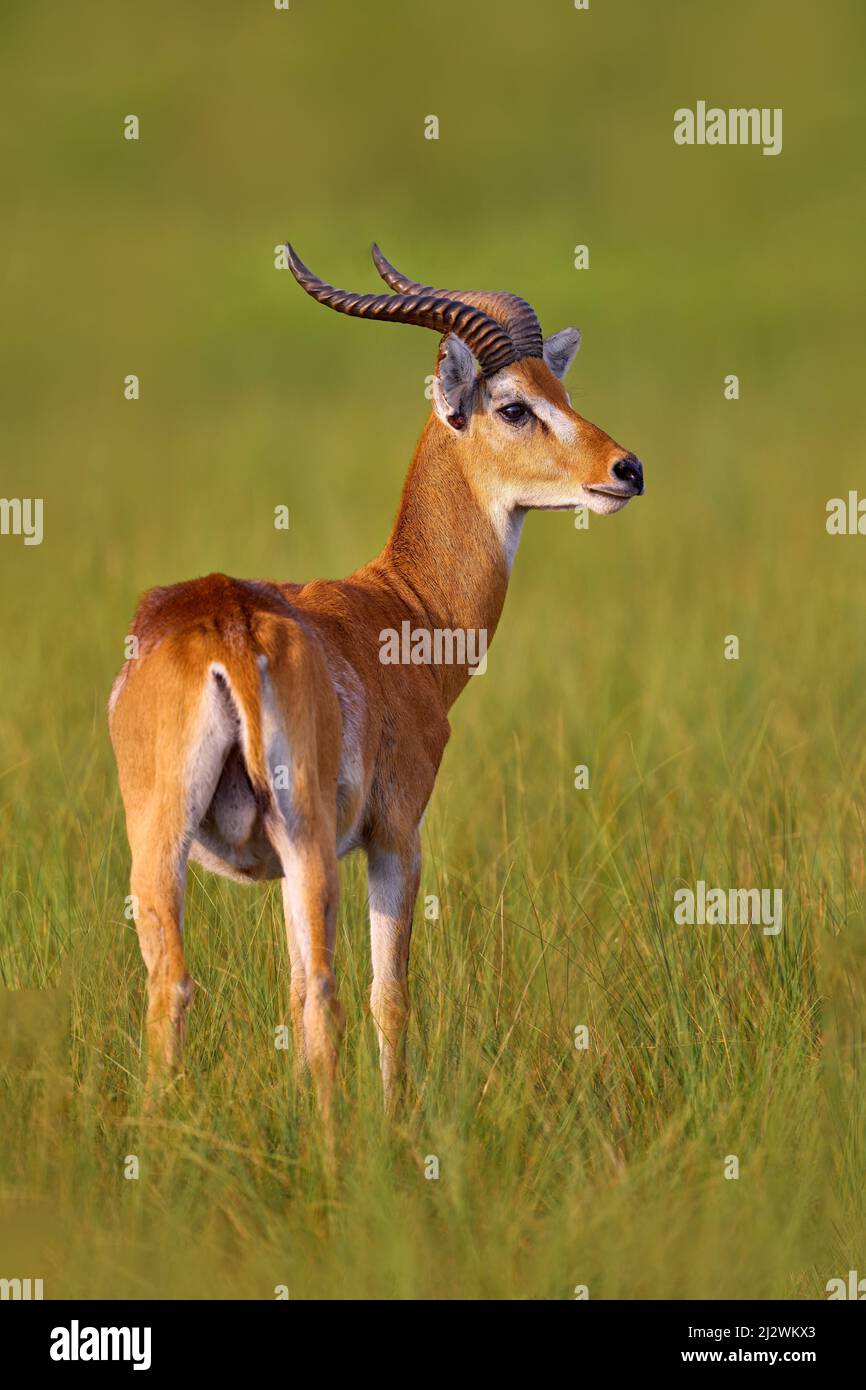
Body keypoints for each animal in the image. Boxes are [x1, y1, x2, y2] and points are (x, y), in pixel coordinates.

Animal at [108, 245, 645, 1116]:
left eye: (562, 391)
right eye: (514, 406)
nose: (626, 469)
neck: (401, 607)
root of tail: (228, 626)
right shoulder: (397, 836)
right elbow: (388, 994)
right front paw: (396, 1123)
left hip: (165, 836)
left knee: (178, 985)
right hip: (308, 838)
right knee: (326, 993)